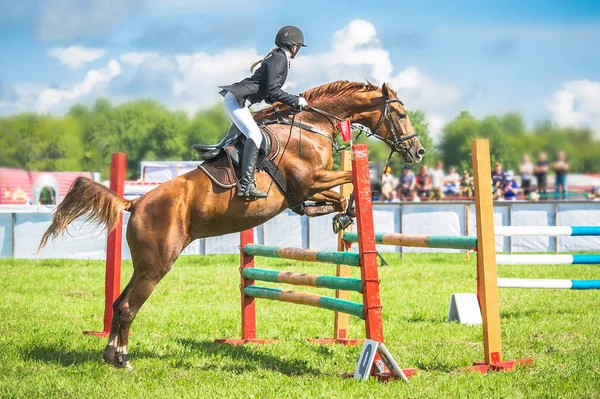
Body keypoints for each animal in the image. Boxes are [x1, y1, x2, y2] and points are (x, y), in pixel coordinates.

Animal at [37, 79, 424, 370]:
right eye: (401, 113)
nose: (418, 152)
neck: (311, 126)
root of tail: (135, 202)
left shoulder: (306, 190)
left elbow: (338, 199)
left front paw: (340, 215)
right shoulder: (310, 180)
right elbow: (357, 183)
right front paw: (348, 209)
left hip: (145, 264)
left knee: (119, 304)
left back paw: (110, 354)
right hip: (158, 264)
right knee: (129, 307)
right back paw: (123, 359)